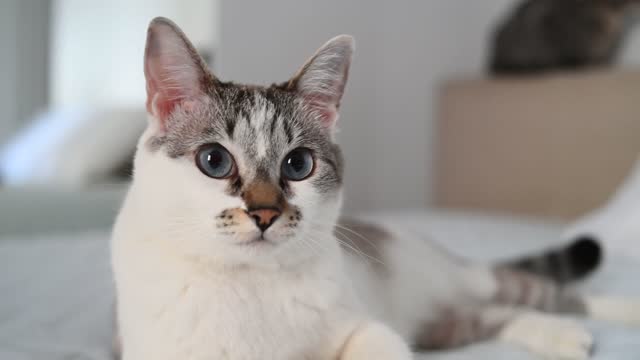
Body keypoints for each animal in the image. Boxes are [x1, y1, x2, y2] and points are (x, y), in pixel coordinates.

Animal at [112, 16, 640, 360]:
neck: (247, 288)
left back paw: (595, 324)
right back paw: (567, 337)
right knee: (499, 314)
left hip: (467, 285)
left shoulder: (368, 330)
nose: (265, 213)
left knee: (545, 294)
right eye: (215, 161)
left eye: (298, 165)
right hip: (441, 329)